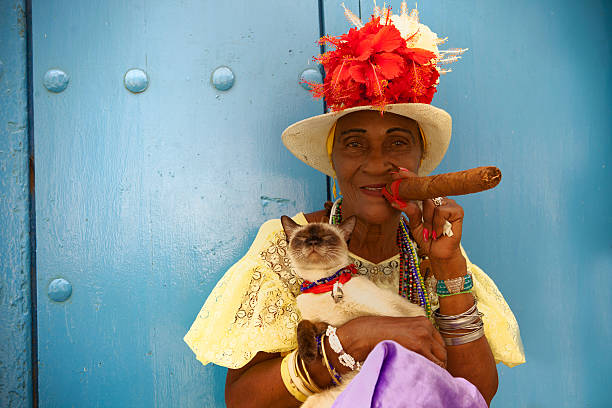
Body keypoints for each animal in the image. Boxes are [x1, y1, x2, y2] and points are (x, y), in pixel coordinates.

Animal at [282, 215, 426, 406]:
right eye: (303, 237)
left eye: (326, 237)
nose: (312, 242)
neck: (325, 284)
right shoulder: (323, 322)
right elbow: (304, 325)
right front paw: (308, 354)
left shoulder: (389, 315)